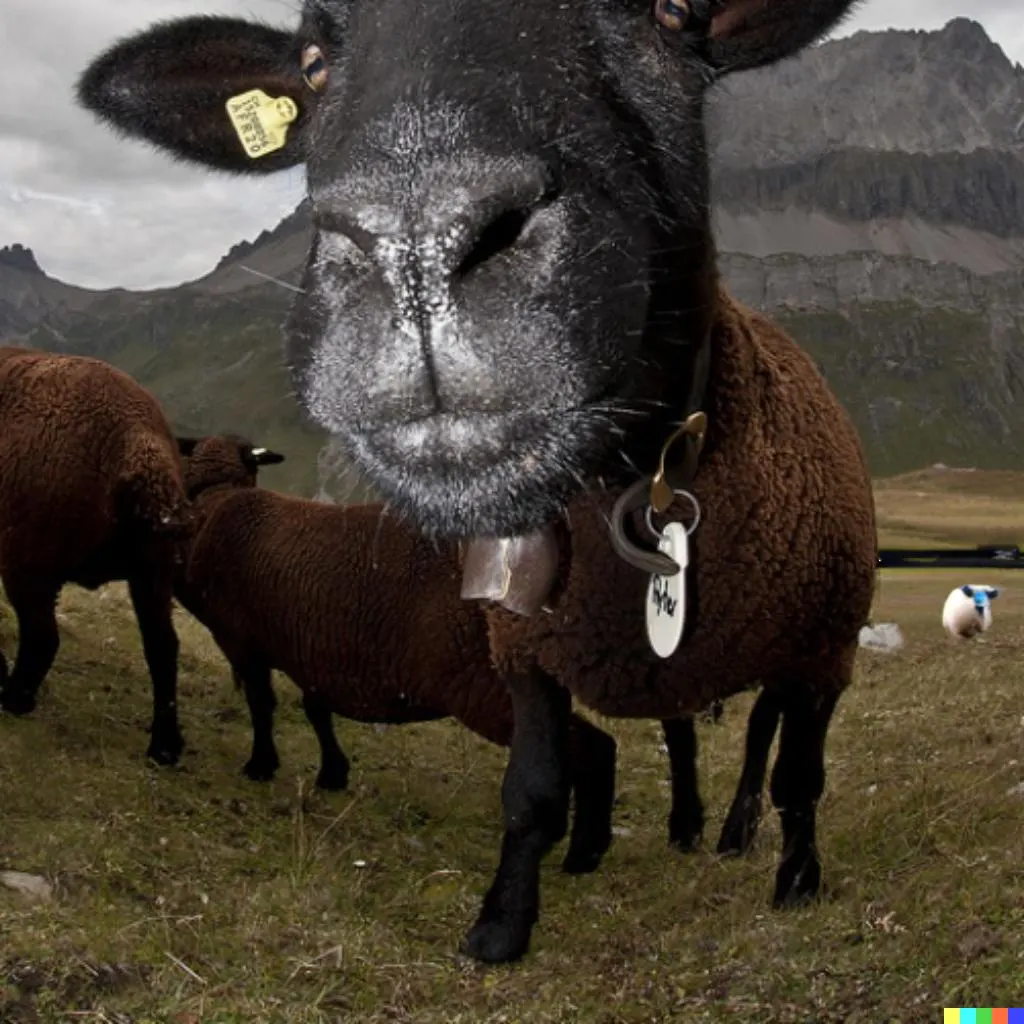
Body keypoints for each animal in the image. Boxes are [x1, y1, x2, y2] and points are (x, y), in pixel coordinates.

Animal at [0, 345, 192, 764]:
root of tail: (140, 444)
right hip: (154, 569)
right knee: (164, 647)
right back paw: (165, 746)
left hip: (30, 557)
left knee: (42, 637)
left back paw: (14, 698)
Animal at [78, 0, 876, 962]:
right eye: (311, 61)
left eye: (671, 14)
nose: (417, 244)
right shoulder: (522, 652)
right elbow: (531, 790)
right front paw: (502, 924)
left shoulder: (825, 653)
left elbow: (803, 776)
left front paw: (799, 883)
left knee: (762, 738)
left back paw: (735, 832)